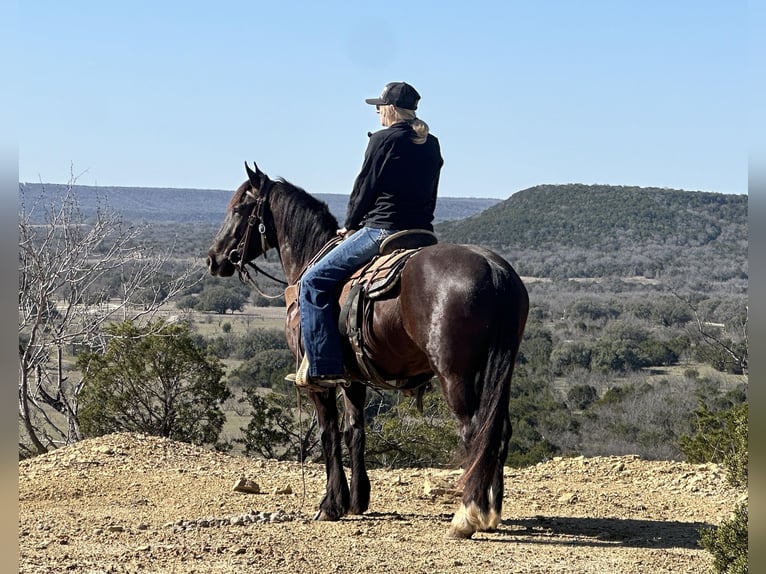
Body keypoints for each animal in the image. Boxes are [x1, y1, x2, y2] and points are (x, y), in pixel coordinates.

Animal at [207, 164, 532, 544]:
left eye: (238, 209)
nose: (213, 259)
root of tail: (494, 269)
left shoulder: (318, 380)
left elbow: (329, 433)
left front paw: (330, 504)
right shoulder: (353, 377)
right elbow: (355, 431)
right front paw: (357, 500)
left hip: (455, 374)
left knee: (474, 430)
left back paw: (467, 516)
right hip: (498, 369)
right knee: (499, 430)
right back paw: (491, 511)